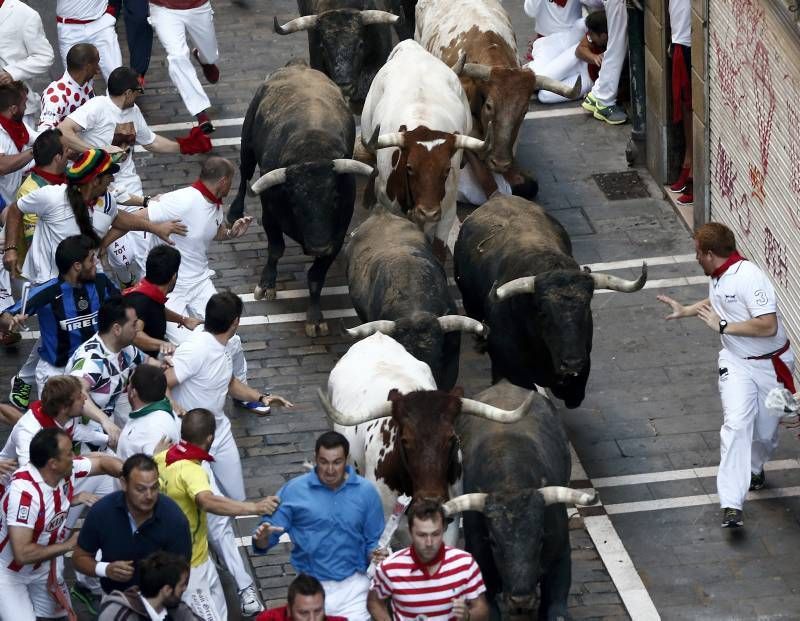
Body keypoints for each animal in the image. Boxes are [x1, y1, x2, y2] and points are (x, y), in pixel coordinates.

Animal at [228, 61, 372, 336]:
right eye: (294, 202)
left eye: (335, 198)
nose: (318, 246)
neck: (312, 151)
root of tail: (297, 66)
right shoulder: (270, 216)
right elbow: (276, 249)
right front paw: (267, 284)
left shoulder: (337, 235)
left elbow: (316, 277)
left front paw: (315, 318)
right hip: (247, 142)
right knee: (243, 173)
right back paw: (233, 213)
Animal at [454, 194, 648, 406]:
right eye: (543, 312)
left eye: (586, 307)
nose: (571, 363)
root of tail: (498, 197)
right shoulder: (510, 369)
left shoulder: (582, 364)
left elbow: (574, 393)